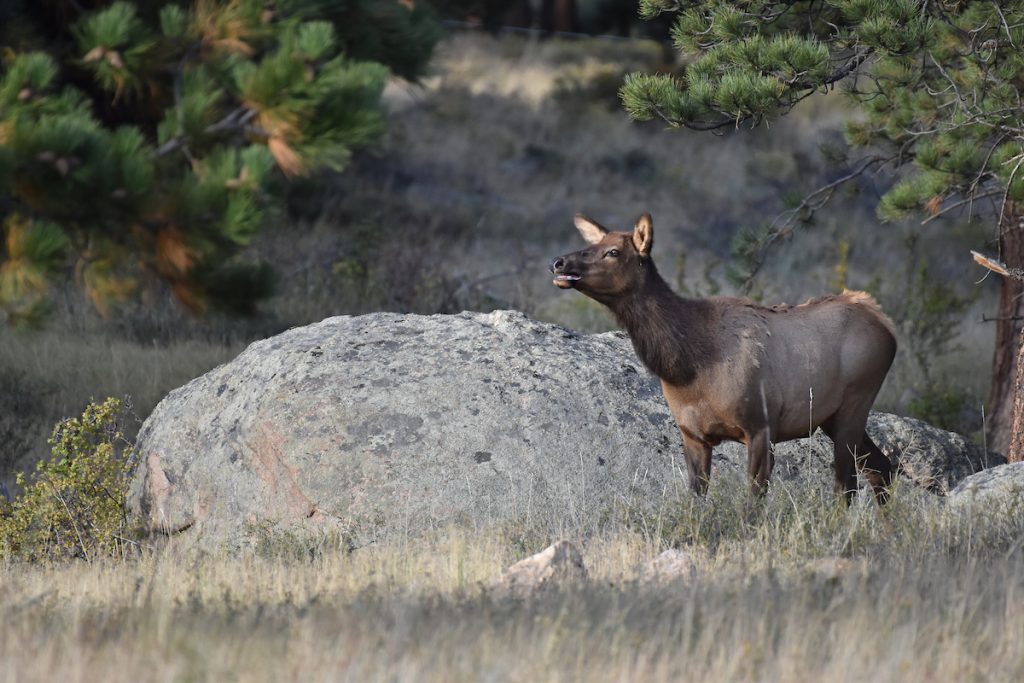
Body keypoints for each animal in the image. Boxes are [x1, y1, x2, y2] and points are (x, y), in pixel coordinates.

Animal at [550, 212, 897, 504]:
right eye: (591, 245)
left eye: (612, 252)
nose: (559, 262)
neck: (688, 367)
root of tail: (885, 323)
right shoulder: (693, 435)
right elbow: (696, 501)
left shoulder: (761, 426)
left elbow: (752, 506)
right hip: (831, 418)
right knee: (882, 469)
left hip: (856, 402)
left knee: (848, 486)